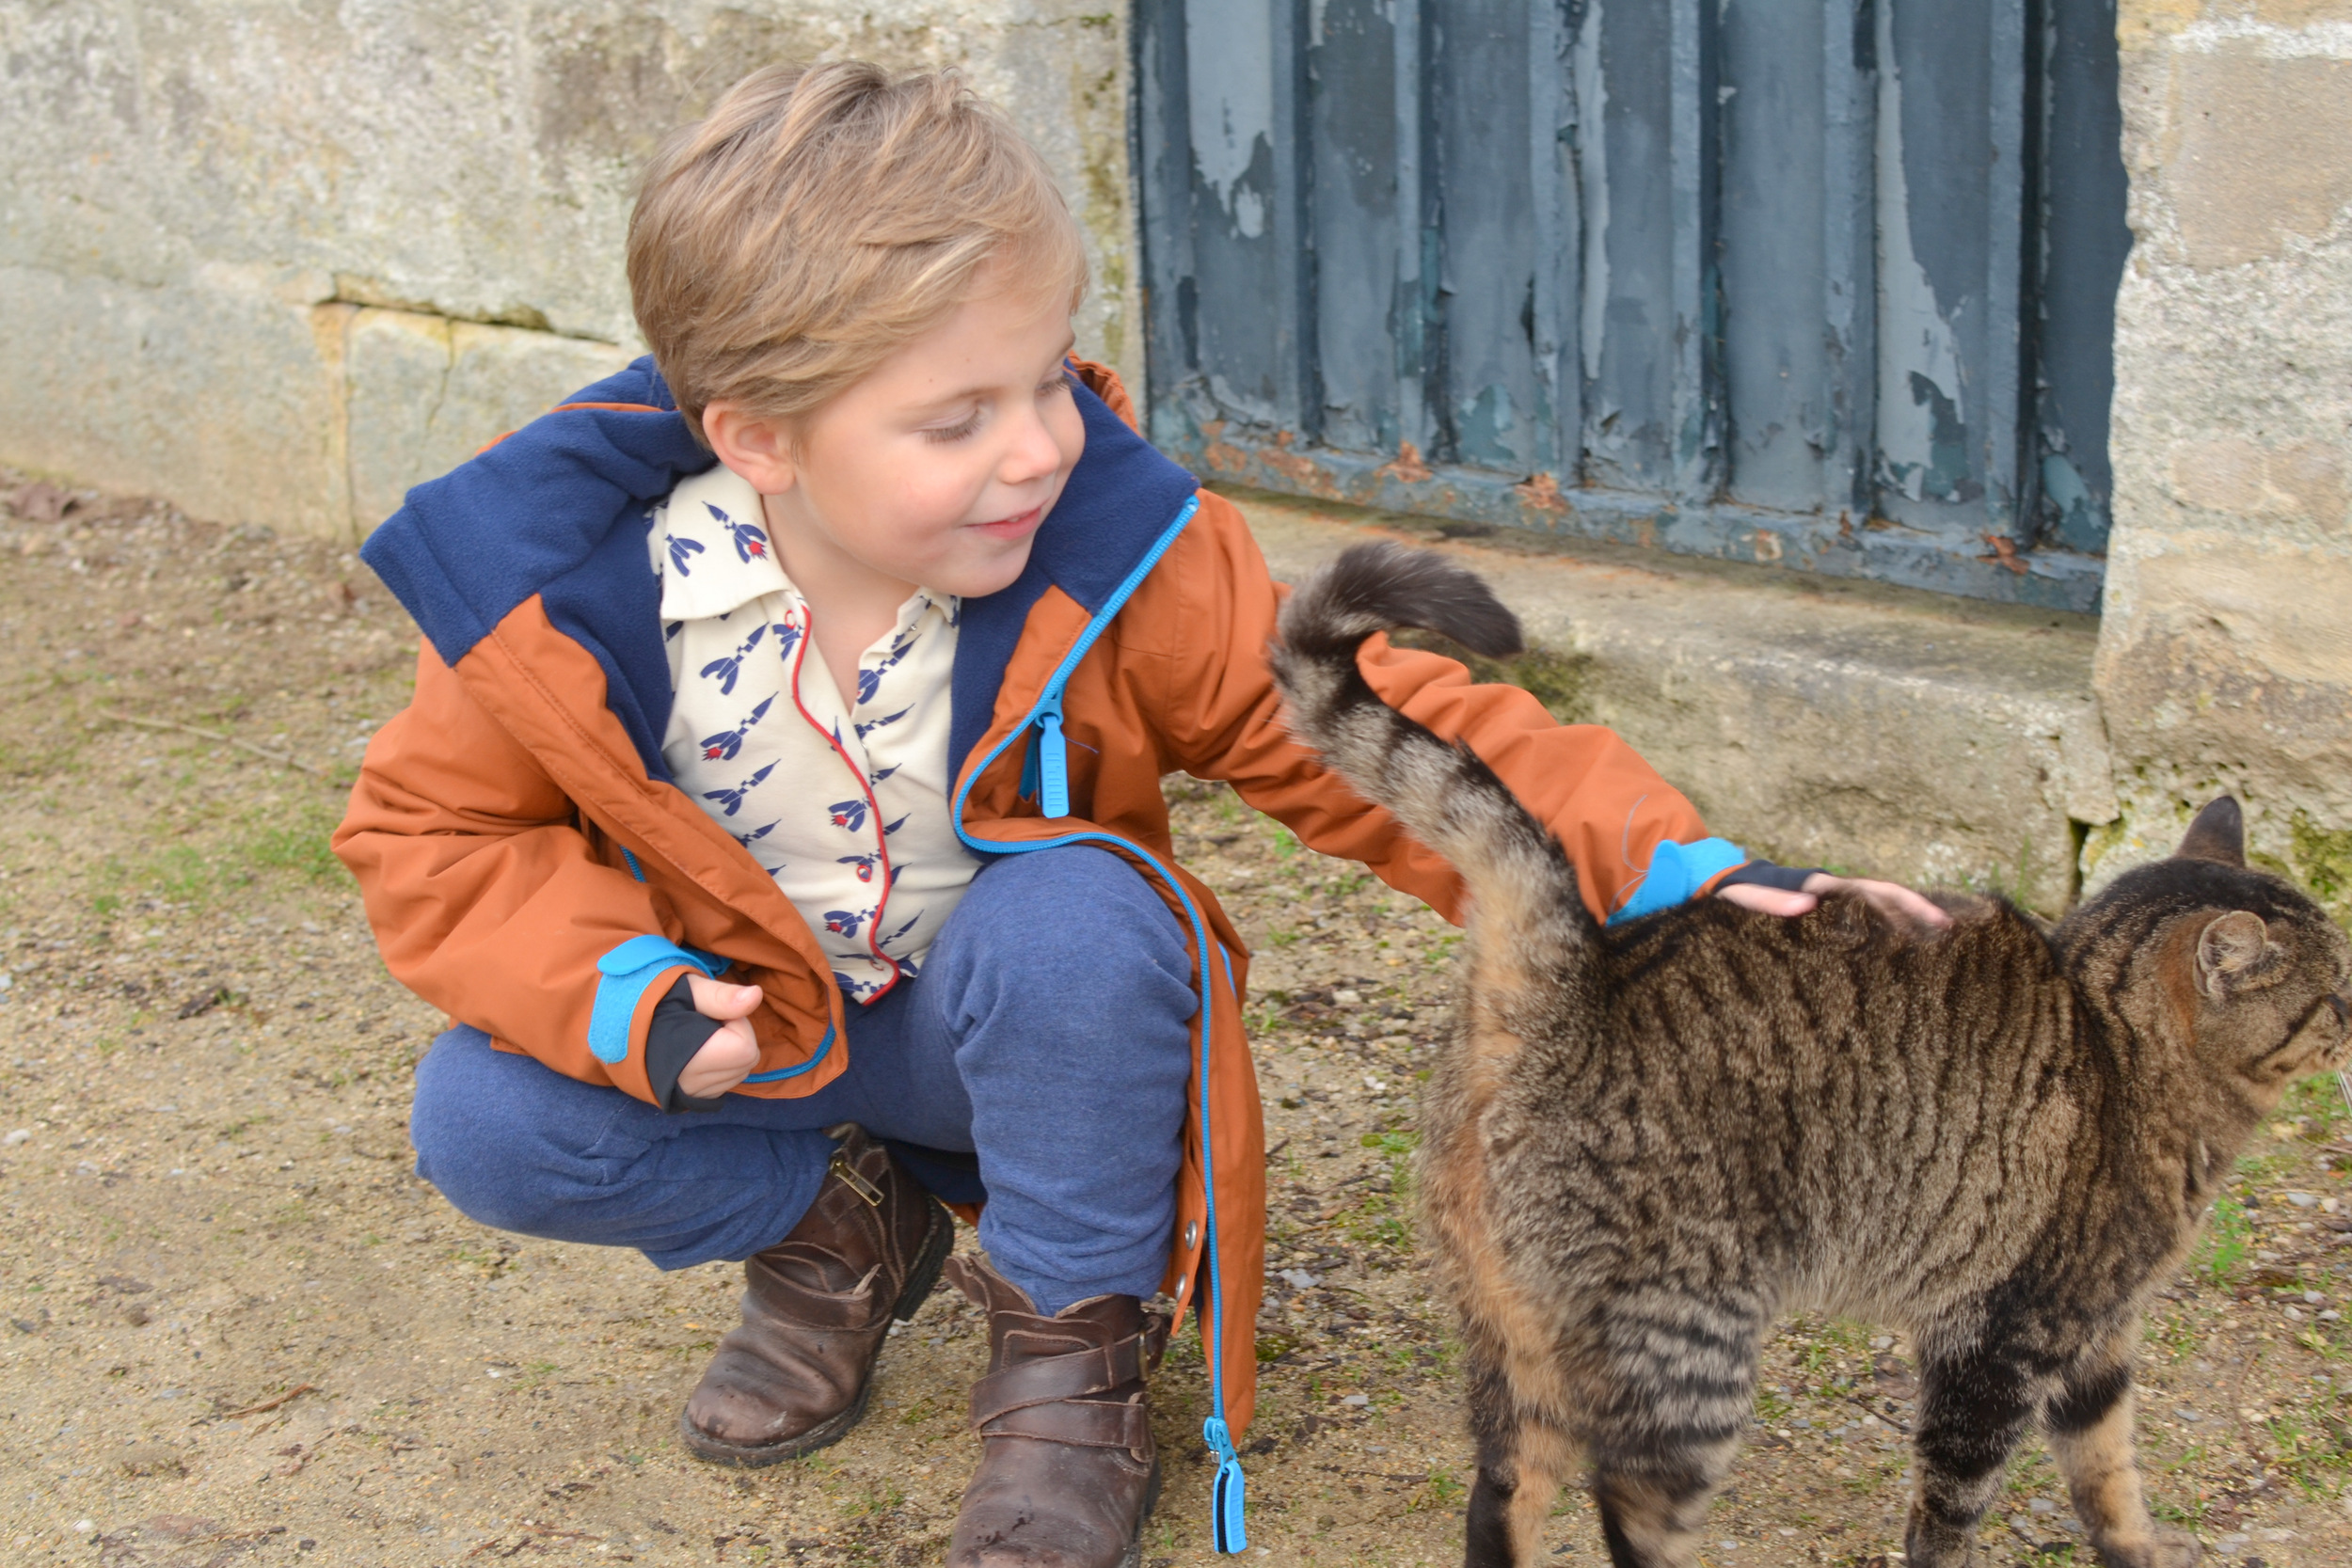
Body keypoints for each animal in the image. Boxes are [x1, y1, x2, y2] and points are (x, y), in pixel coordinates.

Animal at [1270, 545, 2352, 1568]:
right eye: (2336, 989)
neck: (2117, 1043)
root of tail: (1571, 970)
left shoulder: (2098, 1338)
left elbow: (2110, 1467)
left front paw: (2136, 1546)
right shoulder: (2001, 1338)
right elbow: (1951, 1507)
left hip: (1514, 1347)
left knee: (1502, 1495)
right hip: (1688, 1354)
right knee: (1631, 1512)